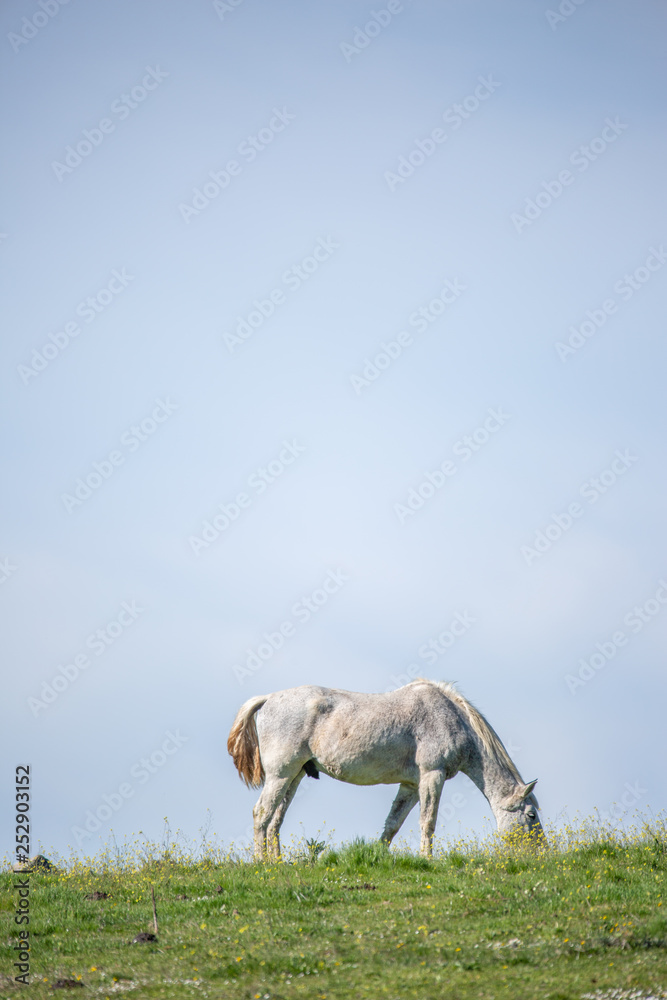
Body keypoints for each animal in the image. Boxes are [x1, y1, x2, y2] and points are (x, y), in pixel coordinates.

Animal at [227, 678, 543, 858]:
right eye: (531, 815)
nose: (540, 853)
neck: (451, 718)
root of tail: (268, 698)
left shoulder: (411, 785)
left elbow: (392, 824)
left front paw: (378, 856)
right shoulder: (433, 776)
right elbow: (427, 822)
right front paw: (428, 859)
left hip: (293, 777)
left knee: (275, 822)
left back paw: (278, 863)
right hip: (280, 776)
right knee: (261, 814)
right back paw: (261, 864)